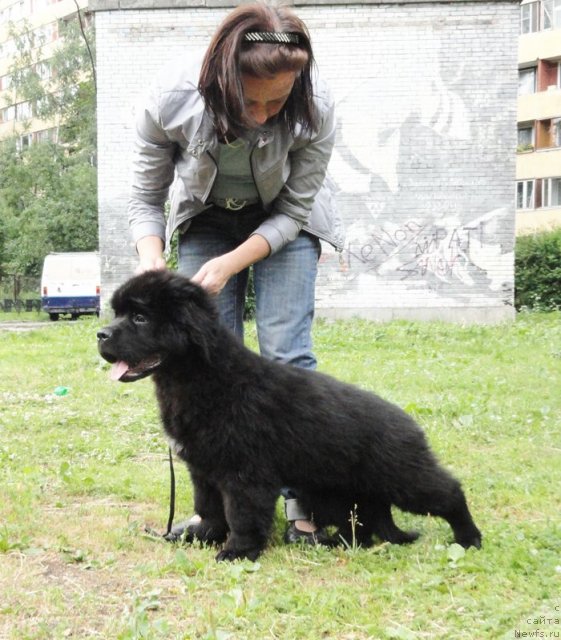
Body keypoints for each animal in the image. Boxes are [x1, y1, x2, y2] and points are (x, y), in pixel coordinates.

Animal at [97, 270, 482, 560]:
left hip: (401, 477)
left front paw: (237, 552)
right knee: (363, 525)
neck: (205, 378)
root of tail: (411, 425)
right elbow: (209, 508)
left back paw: (469, 539)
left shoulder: (245, 474)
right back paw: (337, 543)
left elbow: (242, 515)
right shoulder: (203, 470)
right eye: (118, 313)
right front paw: (202, 536)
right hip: (337, 493)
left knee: (449, 493)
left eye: (140, 317)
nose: (100, 334)